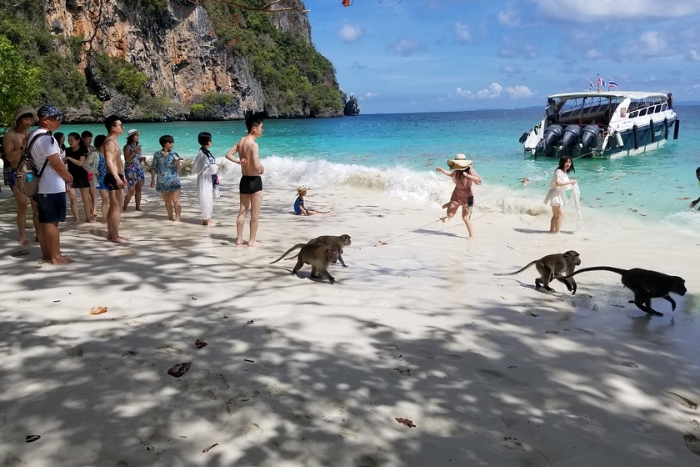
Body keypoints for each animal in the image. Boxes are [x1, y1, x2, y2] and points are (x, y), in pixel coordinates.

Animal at [556, 266, 688, 318]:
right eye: (682, 285)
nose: (685, 290)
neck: (670, 282)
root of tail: (627, 271)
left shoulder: (665, 290)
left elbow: (665, 296)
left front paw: (673, 303)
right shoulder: (663, 288)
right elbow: (648, 294)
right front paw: (640, 303)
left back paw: (651, 310)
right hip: (629, 281)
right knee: (641, 291)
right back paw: (643, 307)